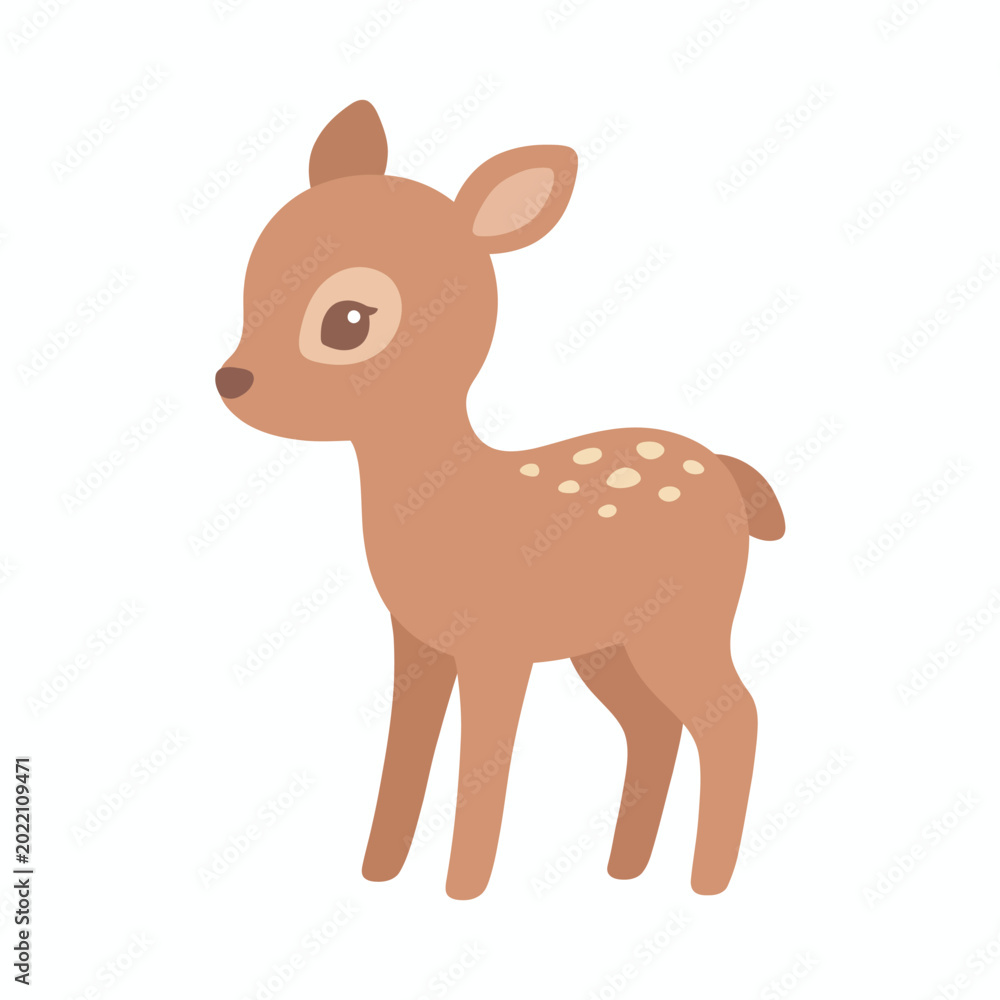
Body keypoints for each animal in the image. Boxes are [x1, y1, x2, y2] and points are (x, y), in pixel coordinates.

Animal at [216, 101, 785, 900]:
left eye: (348, 320)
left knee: (734, 716)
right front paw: (377, 873)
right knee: (653, 727)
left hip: (687, 620)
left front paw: (463, 888)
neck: (447, 495)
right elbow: (406, 749)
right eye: (254, 279)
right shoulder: (418, 642)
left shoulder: (497, 646)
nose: (231, 381)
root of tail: (733, 476)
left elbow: (486, 757)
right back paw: (624, 870)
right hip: (610, 646)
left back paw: (707, 882)